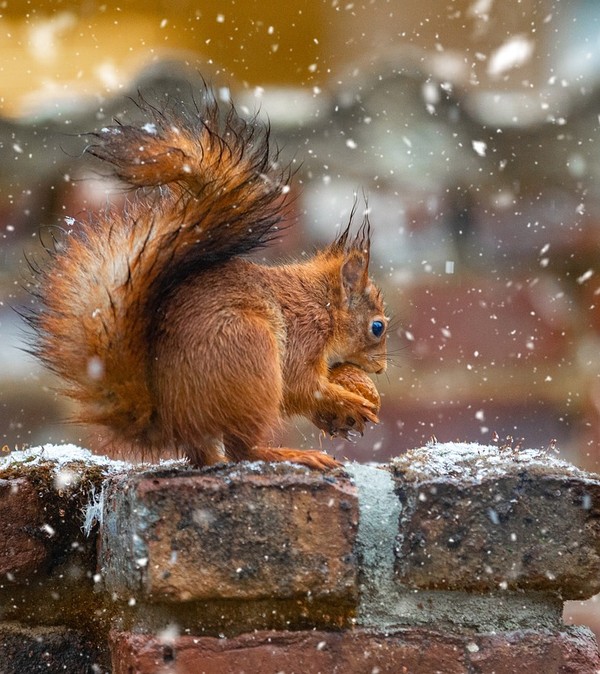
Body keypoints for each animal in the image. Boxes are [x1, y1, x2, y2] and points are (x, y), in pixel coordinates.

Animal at [25, 89, 388, 471]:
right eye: (377, 327)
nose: (380, 369)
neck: (323, 303)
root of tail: (173, 422)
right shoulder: (306, 333)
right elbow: (300, 386)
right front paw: (348, 402)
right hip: (251, 354)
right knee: (243, 449)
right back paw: (290, 454)